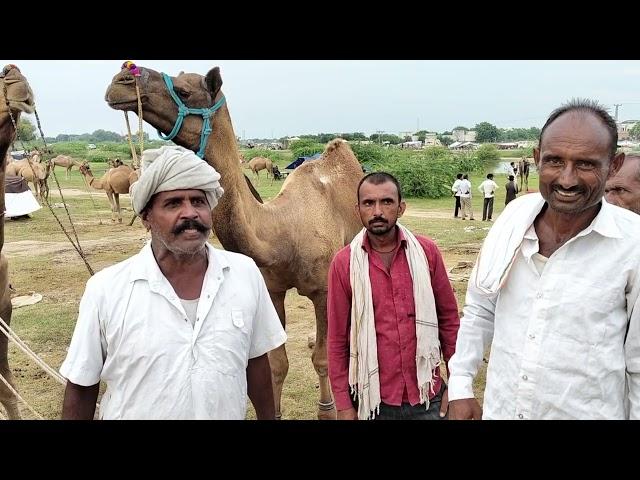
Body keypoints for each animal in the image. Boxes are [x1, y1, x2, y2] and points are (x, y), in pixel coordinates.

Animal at [107, 64, 362, 420]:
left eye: (185, 91)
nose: (121, 80)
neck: (281, 233)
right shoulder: (271, 289)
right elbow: (276, 362)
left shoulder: (323, 289)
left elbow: (323, 359)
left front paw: (328, 408)